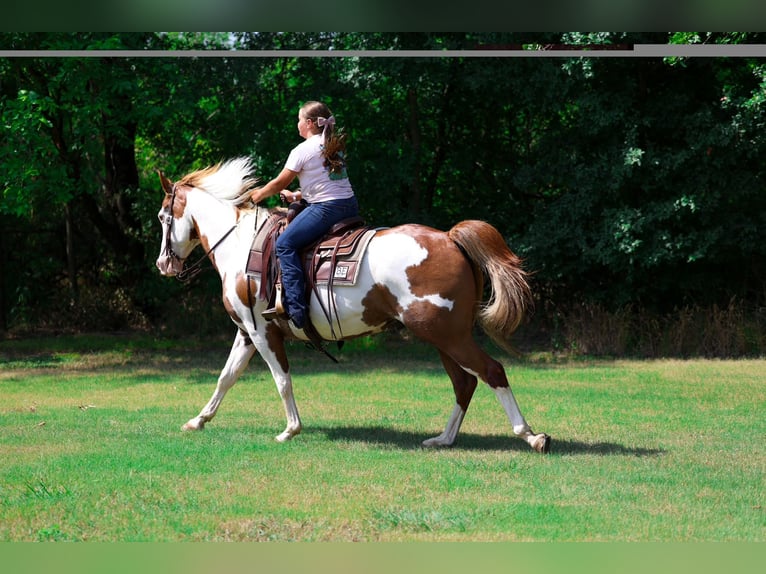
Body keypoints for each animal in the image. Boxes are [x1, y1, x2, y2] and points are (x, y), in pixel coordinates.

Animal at [155, 157, 551, 453]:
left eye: (162, 217)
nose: (162, 264)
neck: (240, 243)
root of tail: (450, 238)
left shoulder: (263, 331)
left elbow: (281, 378)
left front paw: (291, 429)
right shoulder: (248, 332)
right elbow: (226, 377)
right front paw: (198, 420)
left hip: (447, 334)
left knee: (491, 371)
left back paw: (531, 436)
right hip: (445, 337)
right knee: (465, 383)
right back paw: (444, 438)